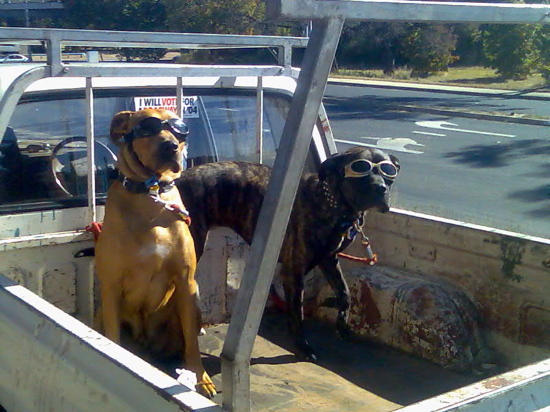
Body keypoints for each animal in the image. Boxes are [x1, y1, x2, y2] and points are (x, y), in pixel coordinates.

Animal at [95, 108, 216, 396]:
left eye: (178, 129)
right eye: (146, 127)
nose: (171, 145)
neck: (150, 194)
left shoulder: (185, 281)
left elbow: (193, 345)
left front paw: (201, 378)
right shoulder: (110, 285)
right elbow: (112, 337)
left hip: (191, 302)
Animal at [180, 147, 402, 360]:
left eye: (389, 171)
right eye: (360, 168)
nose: (380, 188)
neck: (333, 202)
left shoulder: (329, 260)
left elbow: (345, 293)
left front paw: (342, 325)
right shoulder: (294, 274)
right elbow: (297, 313)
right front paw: (303, 346)